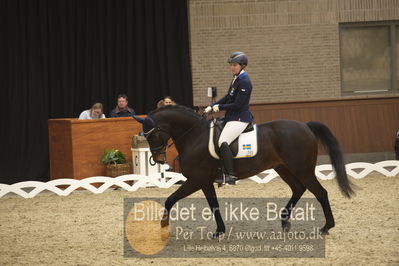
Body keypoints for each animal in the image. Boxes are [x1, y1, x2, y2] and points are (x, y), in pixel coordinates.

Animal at [142, 105, 354, 236]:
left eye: (151, 135)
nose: (158, 160)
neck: (195, 135)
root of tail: (305, 125)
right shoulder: (205, 182)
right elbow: (213, 205)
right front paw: (219, 231)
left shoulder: (196, 180)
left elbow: (171, 199)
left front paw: (163, 224)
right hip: (283, 168)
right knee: (298, 189)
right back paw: (284, 221)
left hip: (302, 169)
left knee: (320, 192)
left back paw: (326, 227)